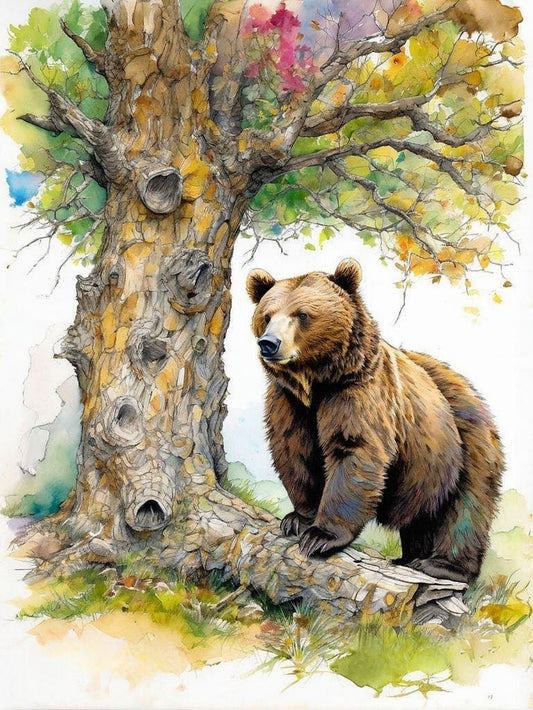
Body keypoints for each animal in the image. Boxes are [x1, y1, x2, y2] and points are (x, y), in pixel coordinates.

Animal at [246, 258, 503, 583]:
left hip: (465, 444)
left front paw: (321, 536)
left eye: (302, 314)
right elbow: (294, 453)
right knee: (422, 516)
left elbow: (354, 450)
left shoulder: (359, 393)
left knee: (466, 506)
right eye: (267, 316)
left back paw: (444, 565)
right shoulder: (289, 402)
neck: (317, 382)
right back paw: (409, 557)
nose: (268, 343)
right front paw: (298, 519)